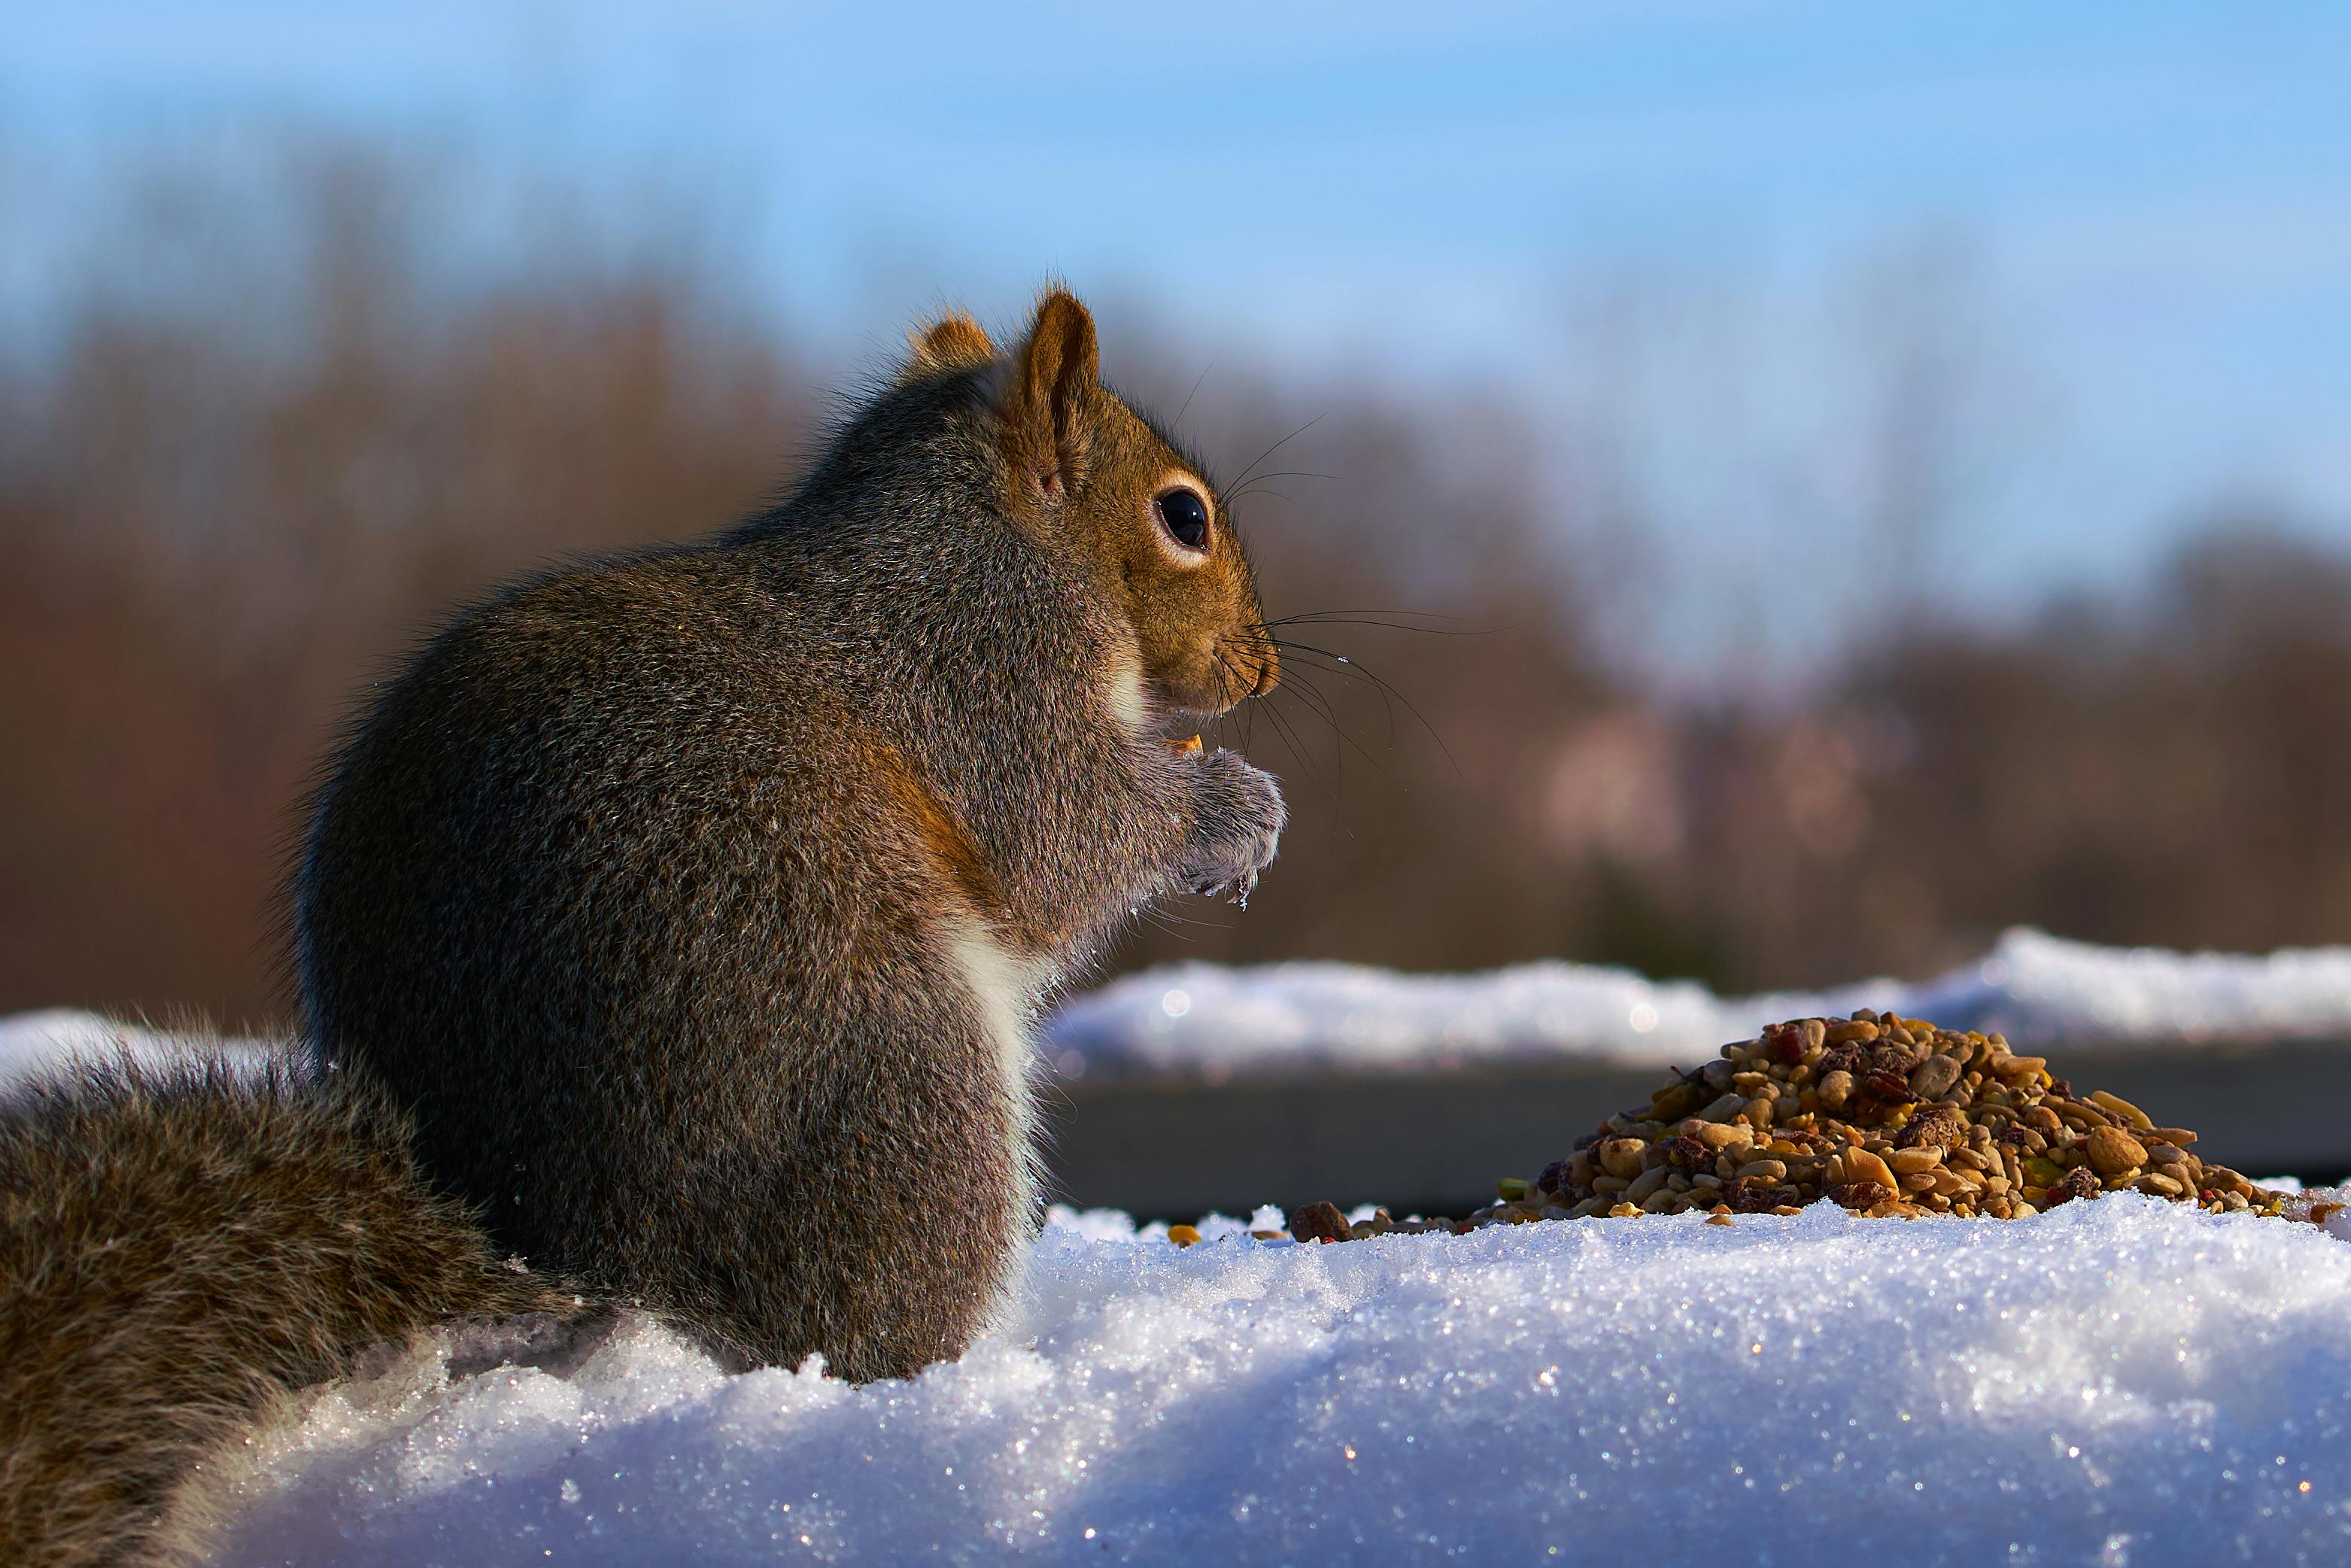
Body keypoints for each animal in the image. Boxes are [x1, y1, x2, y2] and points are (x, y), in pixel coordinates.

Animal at [1, 289, 1286, 1567]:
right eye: (1182, 516)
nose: (1265, 670)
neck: (983, 540)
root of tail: (567, 1250)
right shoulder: (985, 679)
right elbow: (1061, 844)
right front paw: (1231, 810)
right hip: (887, 1062)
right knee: (864, 1324)